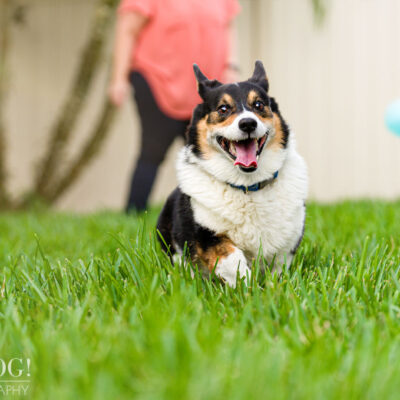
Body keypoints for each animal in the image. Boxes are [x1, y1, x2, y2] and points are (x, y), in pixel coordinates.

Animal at [155, 61, 306, 288]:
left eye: (259, 105)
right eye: (223, 109)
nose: (248, 123)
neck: (247, 185)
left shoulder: (287, 245)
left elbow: (277, 271)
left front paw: (273, 288)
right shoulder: (208, 237)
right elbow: (233, 260)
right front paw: (251, 288)